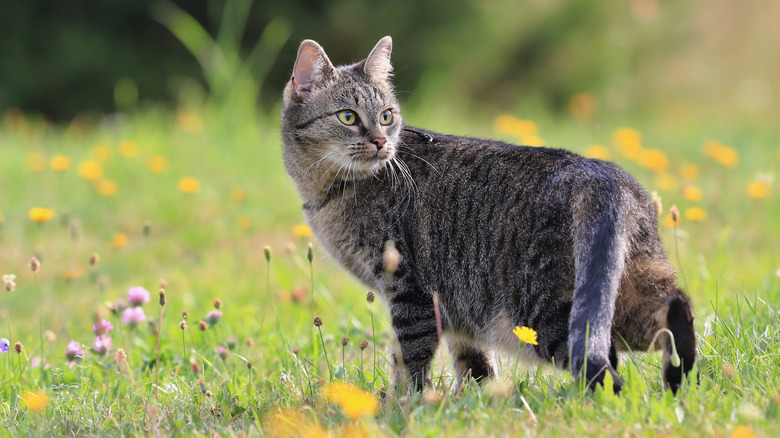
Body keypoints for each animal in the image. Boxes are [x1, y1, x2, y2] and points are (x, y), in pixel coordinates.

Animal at [278, 36, 696, 394]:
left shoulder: (411, 290)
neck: (328, 189)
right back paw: (680, 377)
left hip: (541, 310)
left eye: (385, 116)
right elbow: (475, 364)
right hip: (630, 286)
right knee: (675, 308)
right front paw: (477, 400)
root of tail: (602, 174)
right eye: (348, 117)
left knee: (605, 364)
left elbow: (408, 361)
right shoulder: (456, 307)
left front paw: (400, 408)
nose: (381, 141)